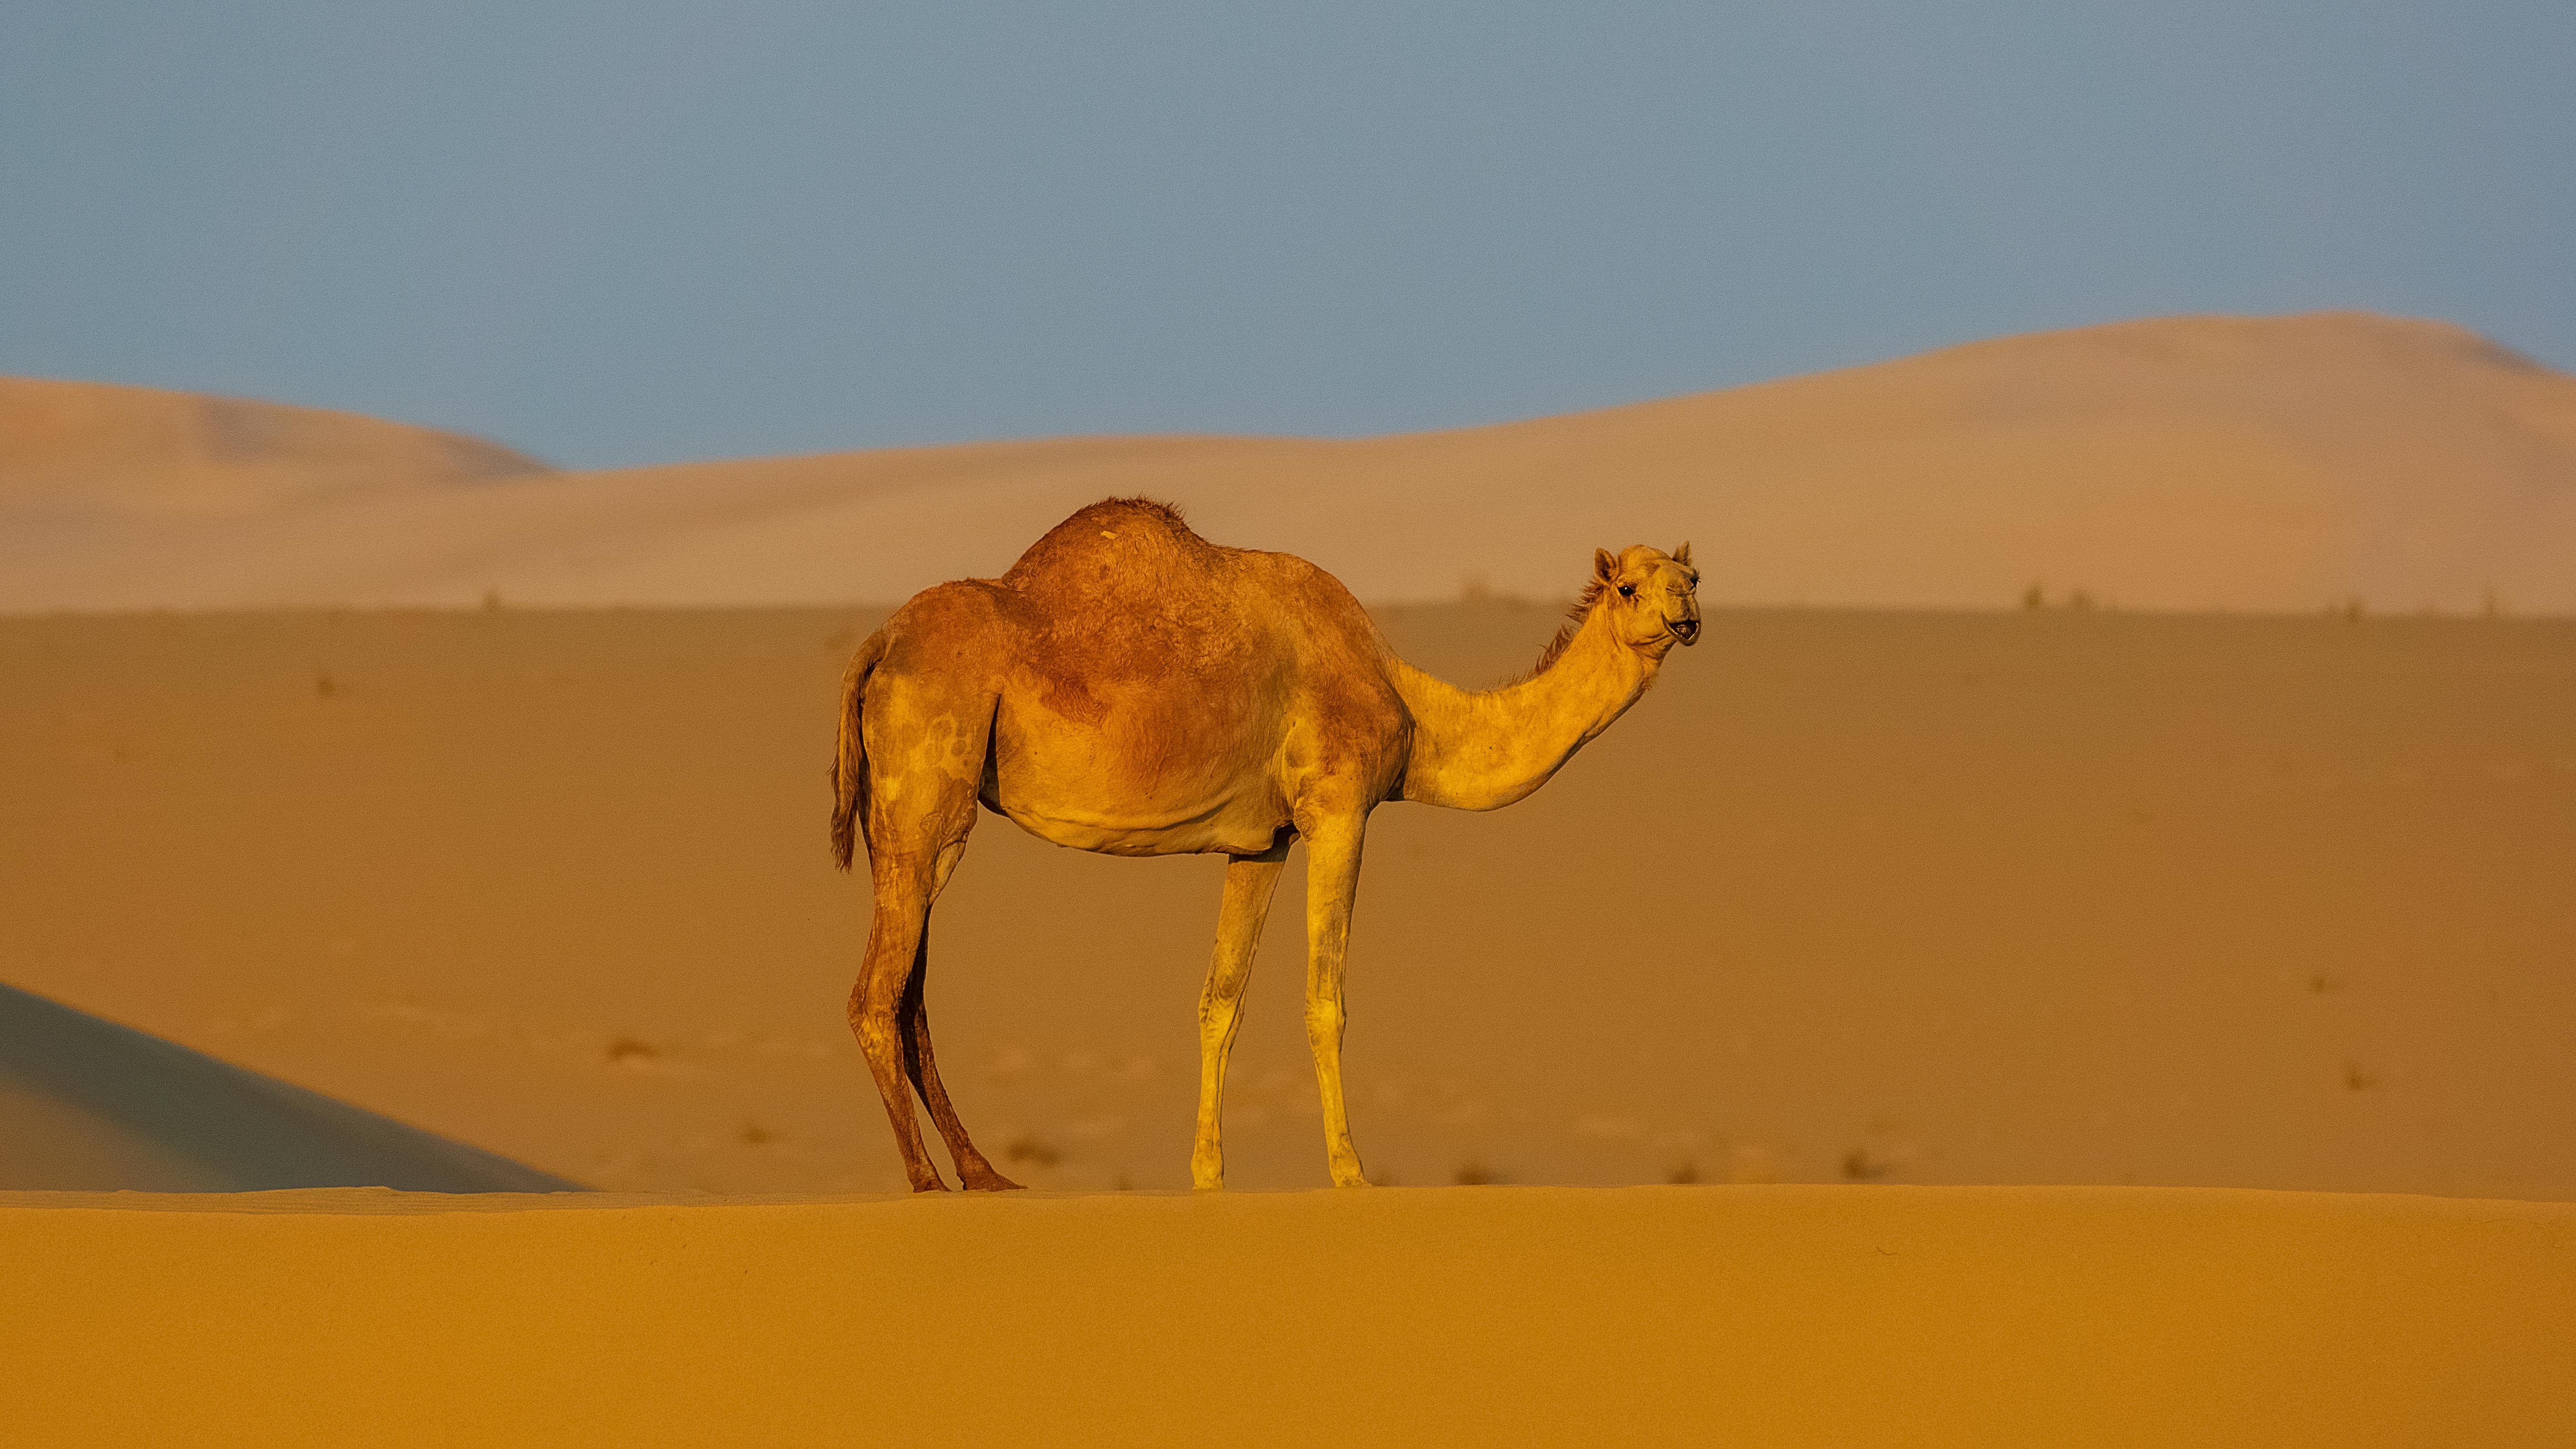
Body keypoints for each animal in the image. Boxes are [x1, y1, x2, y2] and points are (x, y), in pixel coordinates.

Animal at [834, 499, 1700, 1189]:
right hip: (928, 796)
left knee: (909, 994)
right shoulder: (1339, 808)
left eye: (1690, 576)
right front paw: (1350, 1170)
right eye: (1630, 586)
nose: (1686, 617)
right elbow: (1325, 999)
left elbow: (1219, 1001)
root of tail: (878, 643)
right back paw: (926, 1180)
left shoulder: (1263, 840)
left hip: (900, 818)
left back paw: (983, 1173)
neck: (1412, 707)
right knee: (877, 994)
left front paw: (1208, 1174)